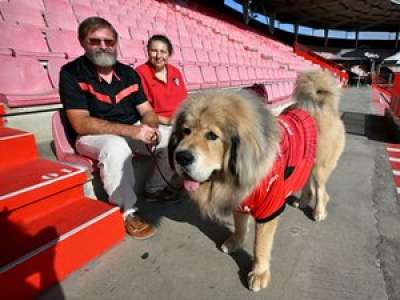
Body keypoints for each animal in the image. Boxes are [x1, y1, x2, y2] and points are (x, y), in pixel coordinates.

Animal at [167, 69, 346, 290]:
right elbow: (240, 226)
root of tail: (320, 104)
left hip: (319, 168)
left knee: (321, 191)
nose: (181, 157)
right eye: (186, 131)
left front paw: (259, 273)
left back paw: (319, 212)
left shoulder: (268, 209)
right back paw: (301, 201)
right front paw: (235, 242)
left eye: (212, 136)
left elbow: (260, 246)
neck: (230, 177)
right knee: (307, 186)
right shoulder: (239, 200)